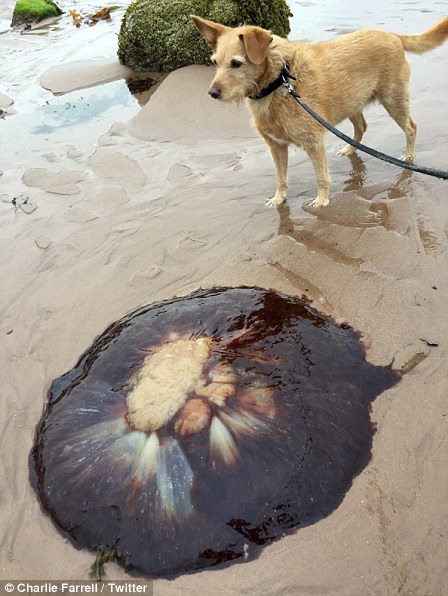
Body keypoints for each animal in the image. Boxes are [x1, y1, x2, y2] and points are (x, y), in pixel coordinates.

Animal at [191, 14, 448, 207]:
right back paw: (350, 149)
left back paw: (409, 156)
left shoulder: (313, 143)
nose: (212, 93)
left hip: (393, 100)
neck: (279, 82)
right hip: (351, 101)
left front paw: (322, 201)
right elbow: (281, 177)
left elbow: (321, 176)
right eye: (215, 62)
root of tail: (393, 35)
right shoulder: (276, 146)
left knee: (411, 127)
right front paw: (279, 198)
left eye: (236, 63)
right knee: (361, 126)